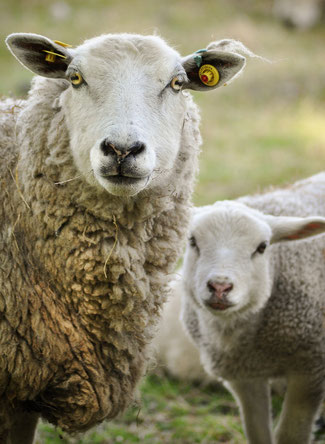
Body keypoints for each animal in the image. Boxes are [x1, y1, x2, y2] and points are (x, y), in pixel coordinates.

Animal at [180, 173, 325, 444]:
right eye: (192, 241)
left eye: (262, 247)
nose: (220, 287)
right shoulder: (243, 376)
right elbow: (257, 432)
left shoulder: (310, 368)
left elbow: (290, 435)